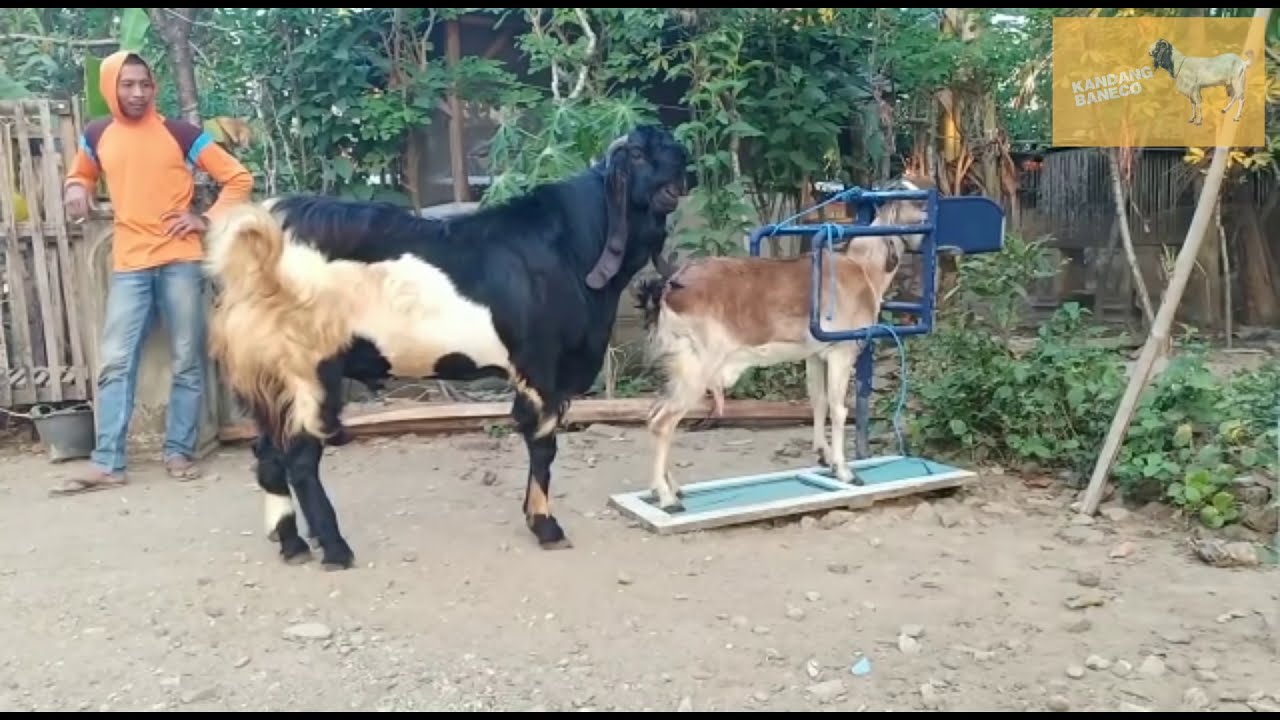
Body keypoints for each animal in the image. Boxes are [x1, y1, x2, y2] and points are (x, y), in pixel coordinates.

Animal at [205, 124, 691, 569]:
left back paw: (292, 544)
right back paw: (337, 550)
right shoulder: (540, 366)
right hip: (308, 369)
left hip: (268, 375)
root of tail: (260, 246)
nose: (686, 166)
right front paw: (546, 526)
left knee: (268, 451)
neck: (569, 245)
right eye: (642, 153)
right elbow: (542, 443)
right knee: (302, 458)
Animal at [633, 175, 931, 512]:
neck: (861, 267)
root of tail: (670, 288)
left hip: (678, 367)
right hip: (697, 369)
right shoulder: (841, 353)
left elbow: (818, 401)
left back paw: (671, 488)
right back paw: (667, 498)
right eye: (919, 202)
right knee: (663, 422)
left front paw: (824, 456)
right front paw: (844, 471)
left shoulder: (815, 355)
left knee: (654, 413)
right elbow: (839, 409)